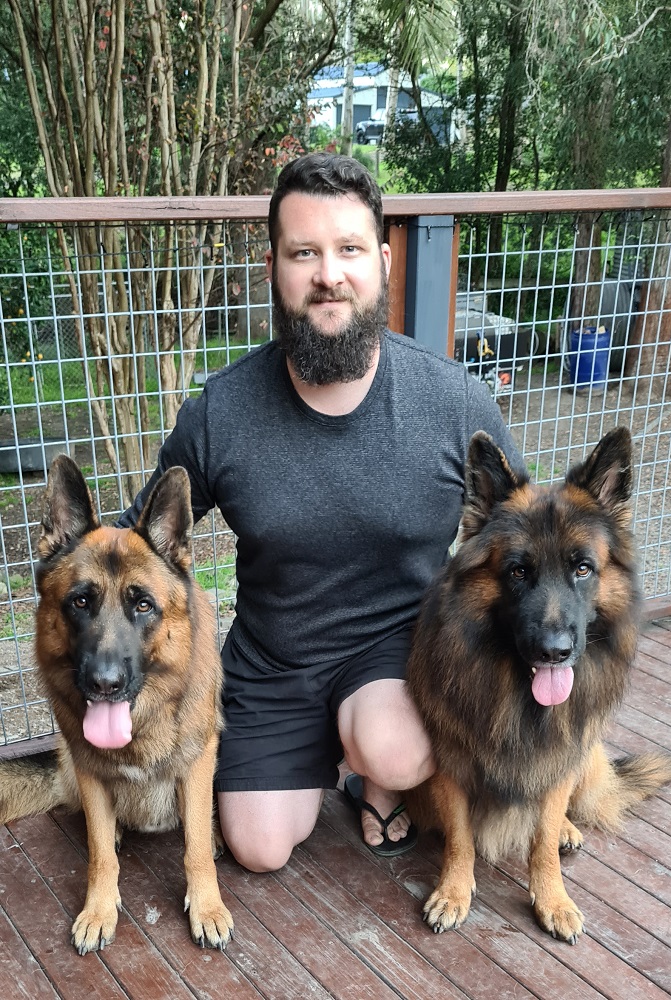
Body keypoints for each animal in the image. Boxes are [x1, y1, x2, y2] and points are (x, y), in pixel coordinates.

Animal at [0, 454, 236, 952]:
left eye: (143, 605)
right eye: (79, 602)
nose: (104, 684)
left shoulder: (198, 762)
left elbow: (195, 849)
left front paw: (207, 907)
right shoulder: (90, 770)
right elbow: (99, 855)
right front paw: (98, 910)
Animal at [406, 430, 671, 944]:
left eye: (583, 569)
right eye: (518, 571)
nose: (555, 652)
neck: (518, 699)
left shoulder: (557, 758)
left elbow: (543, 836)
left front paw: (553, 899)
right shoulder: (449, 763)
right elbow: (461, 837)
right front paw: (453, 891)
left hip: (585, 751)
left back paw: (569, 828)